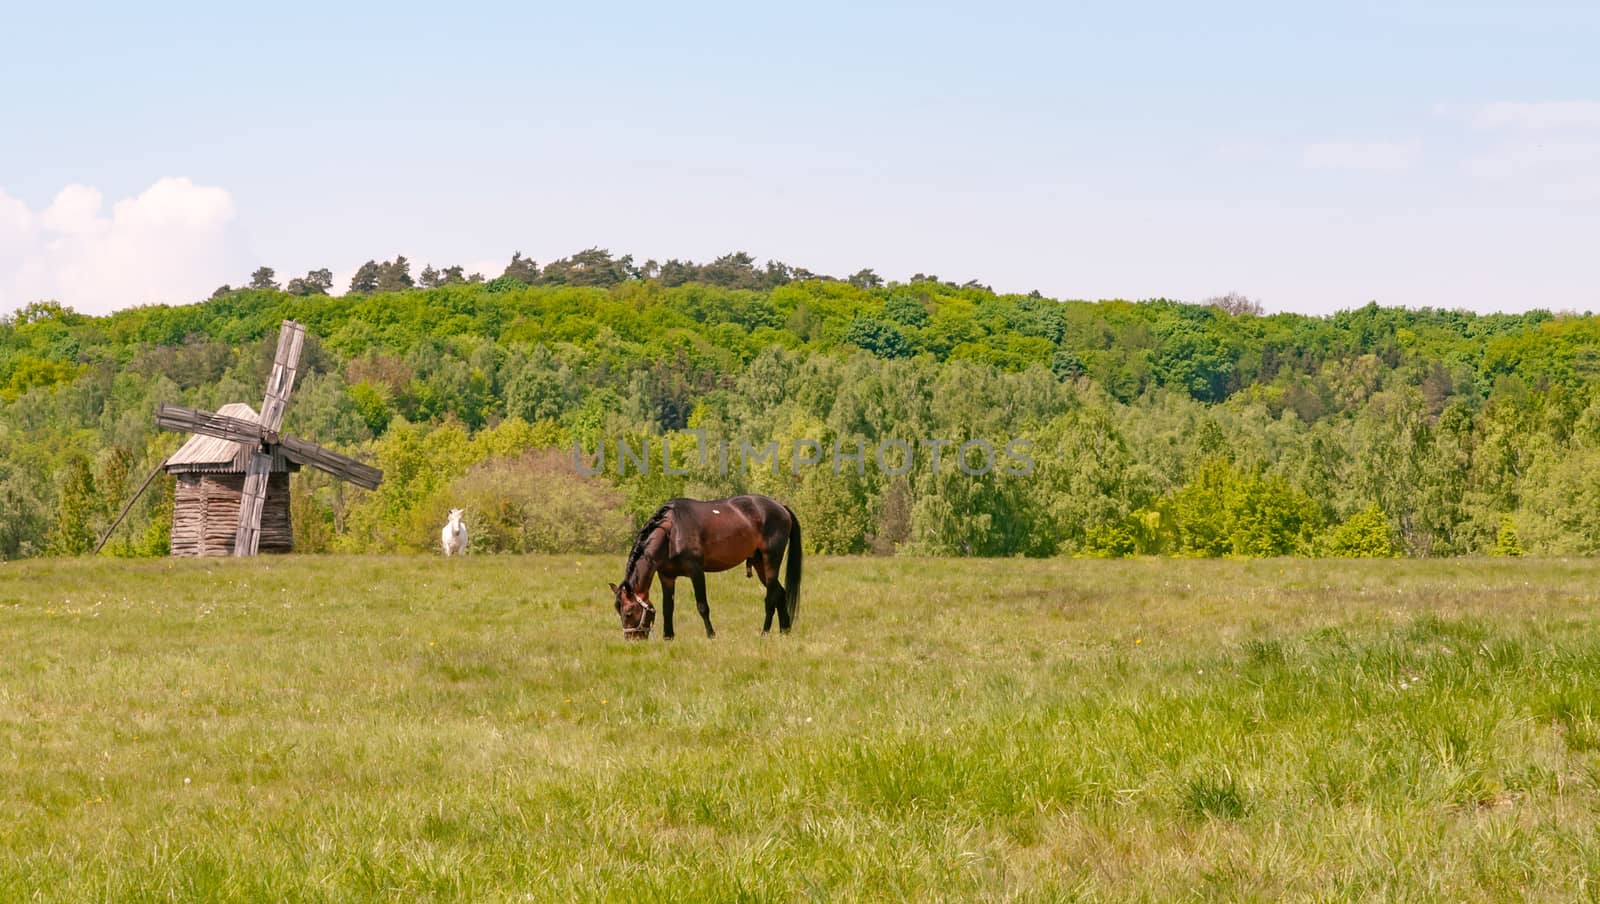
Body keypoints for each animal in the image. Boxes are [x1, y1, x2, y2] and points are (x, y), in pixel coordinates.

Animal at [604, 496, 800, 636]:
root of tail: (781, 507)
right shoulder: (666, 576)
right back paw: (785, 630)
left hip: (771, 560)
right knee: (780, 592)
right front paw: (668, 637)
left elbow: (702, 606)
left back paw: (765, 632)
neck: (672, 533)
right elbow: (668, 607)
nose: (632, 639)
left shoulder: (696, 572)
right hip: (759, 564)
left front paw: (711, 634)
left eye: (629, 612)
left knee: (771, 596)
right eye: (618, 611)